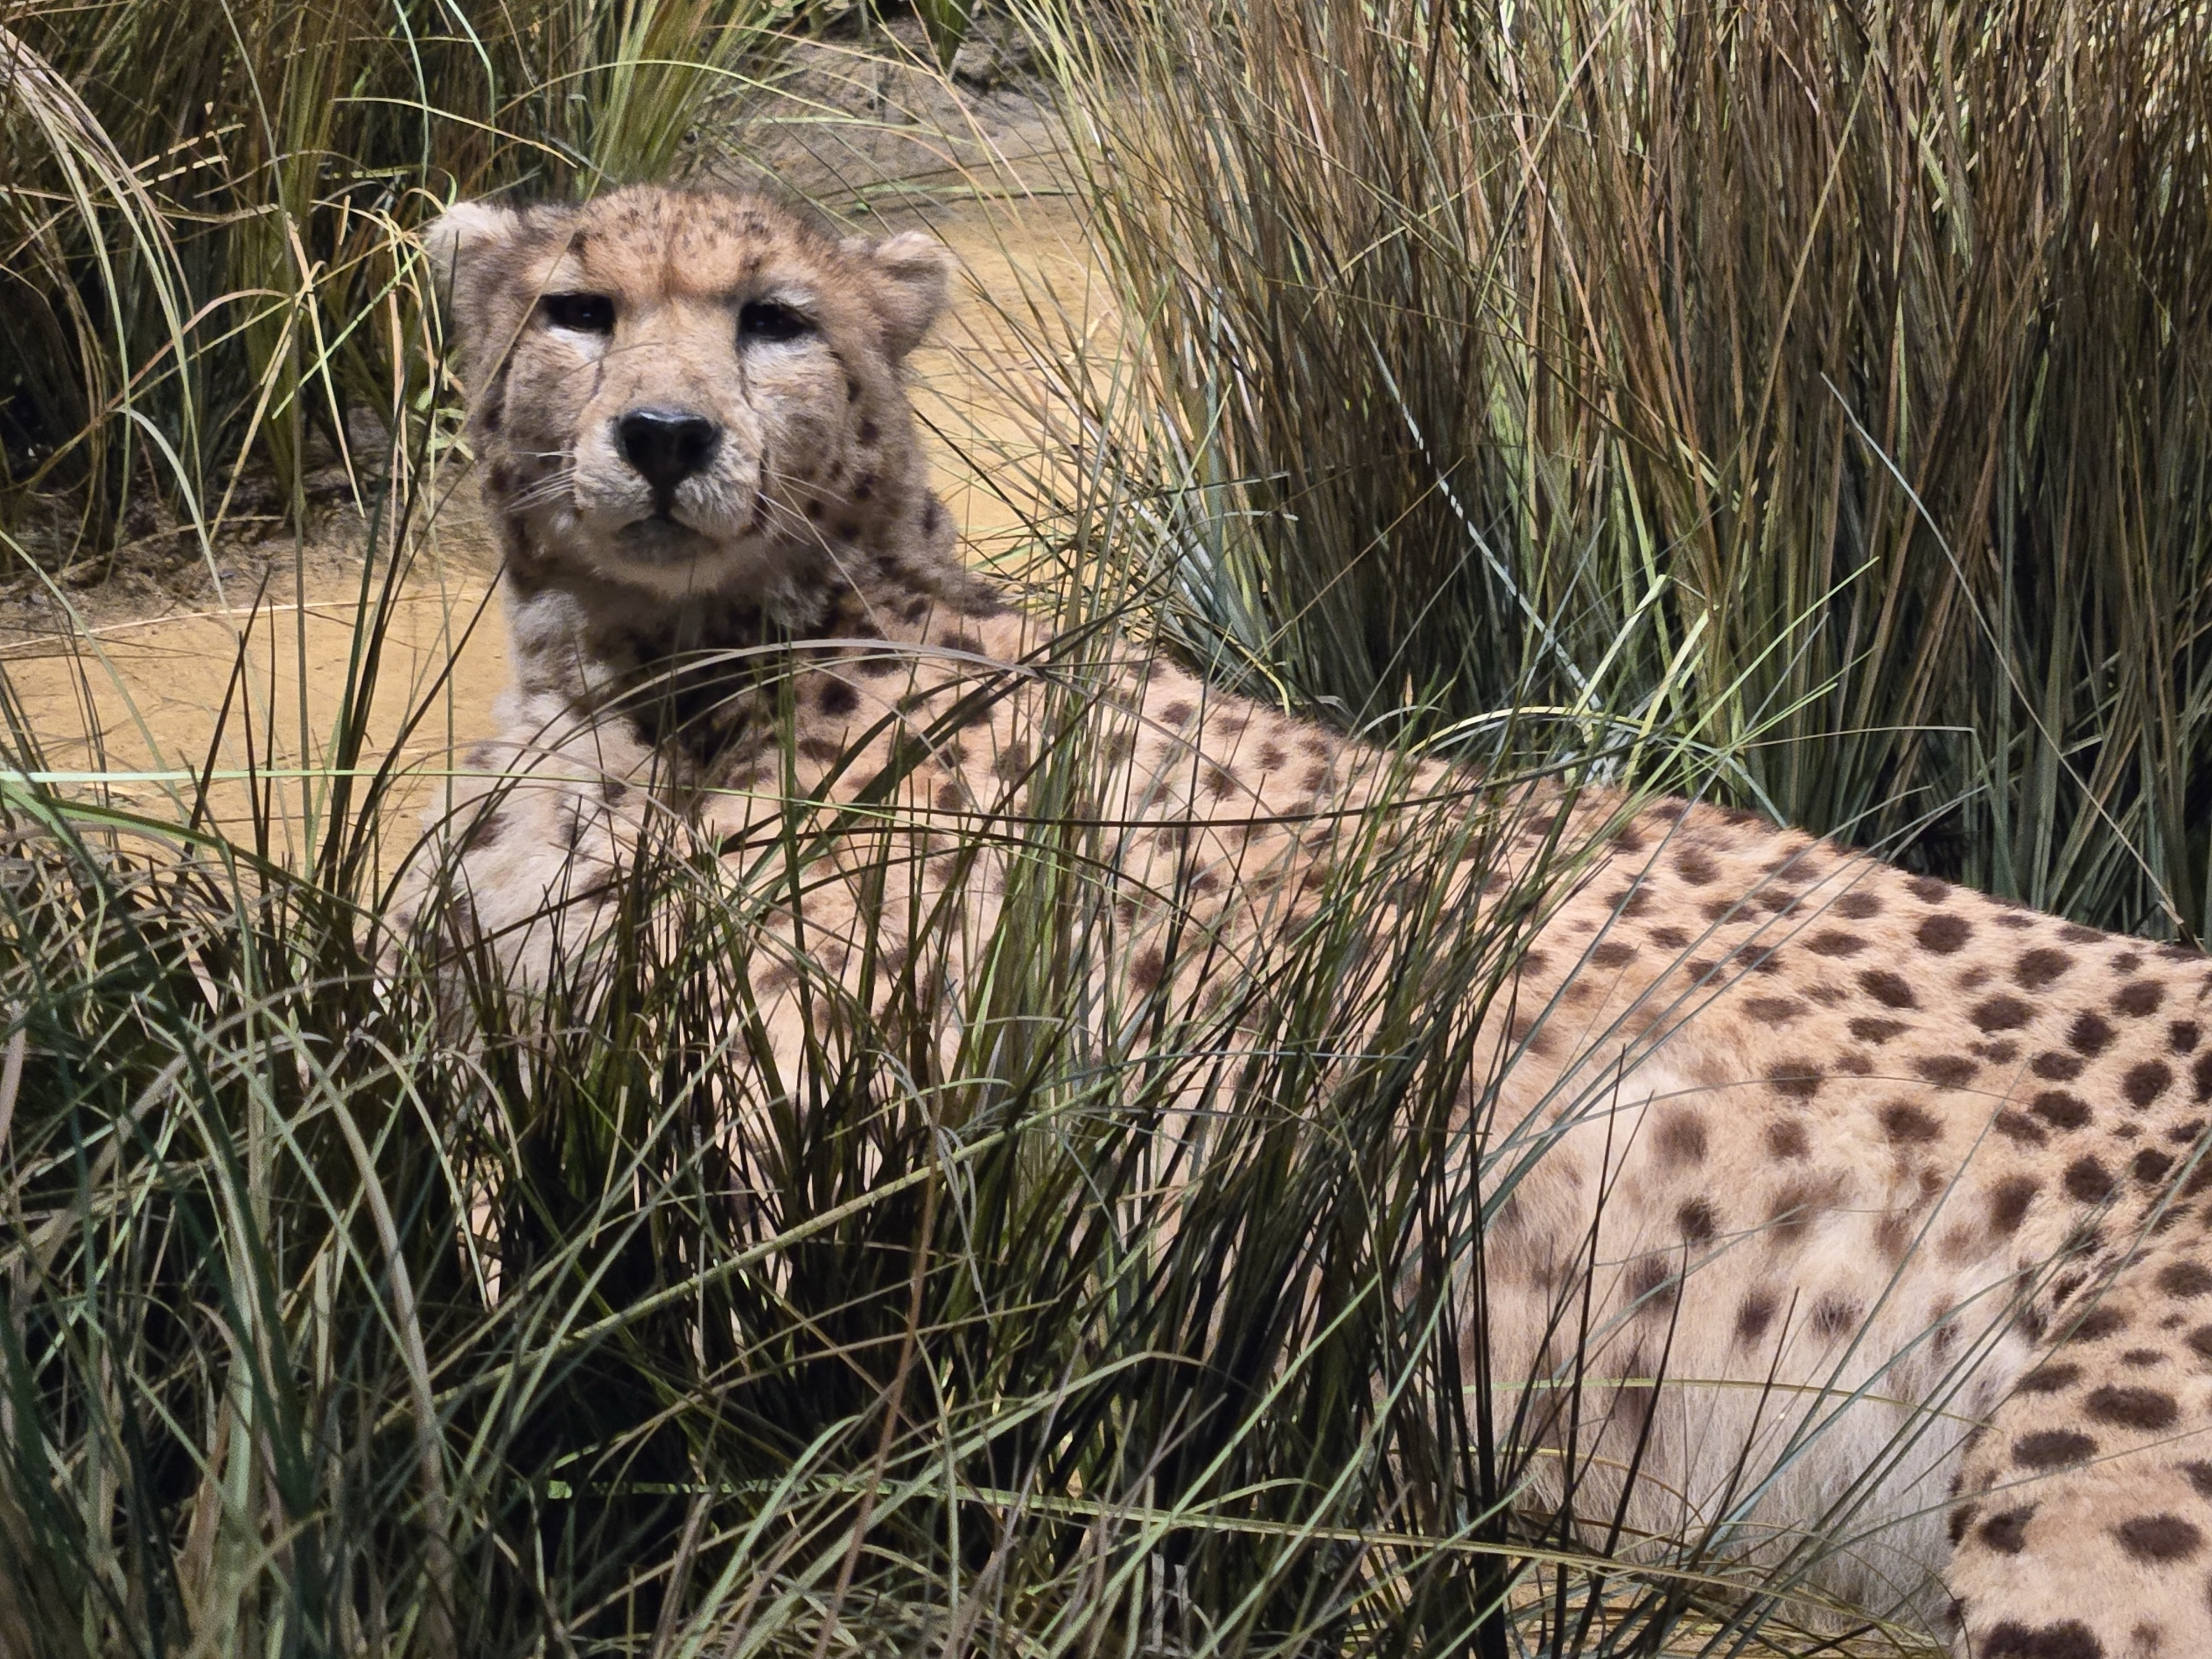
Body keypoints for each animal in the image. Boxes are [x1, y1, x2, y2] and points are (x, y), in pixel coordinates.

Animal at [407, 182, 2212, 1657]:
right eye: (577, 310)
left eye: (773, 318)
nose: (663, 436)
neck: (656, 678)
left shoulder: (864, 1160)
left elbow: (546, 1314)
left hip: (2094, 1477)